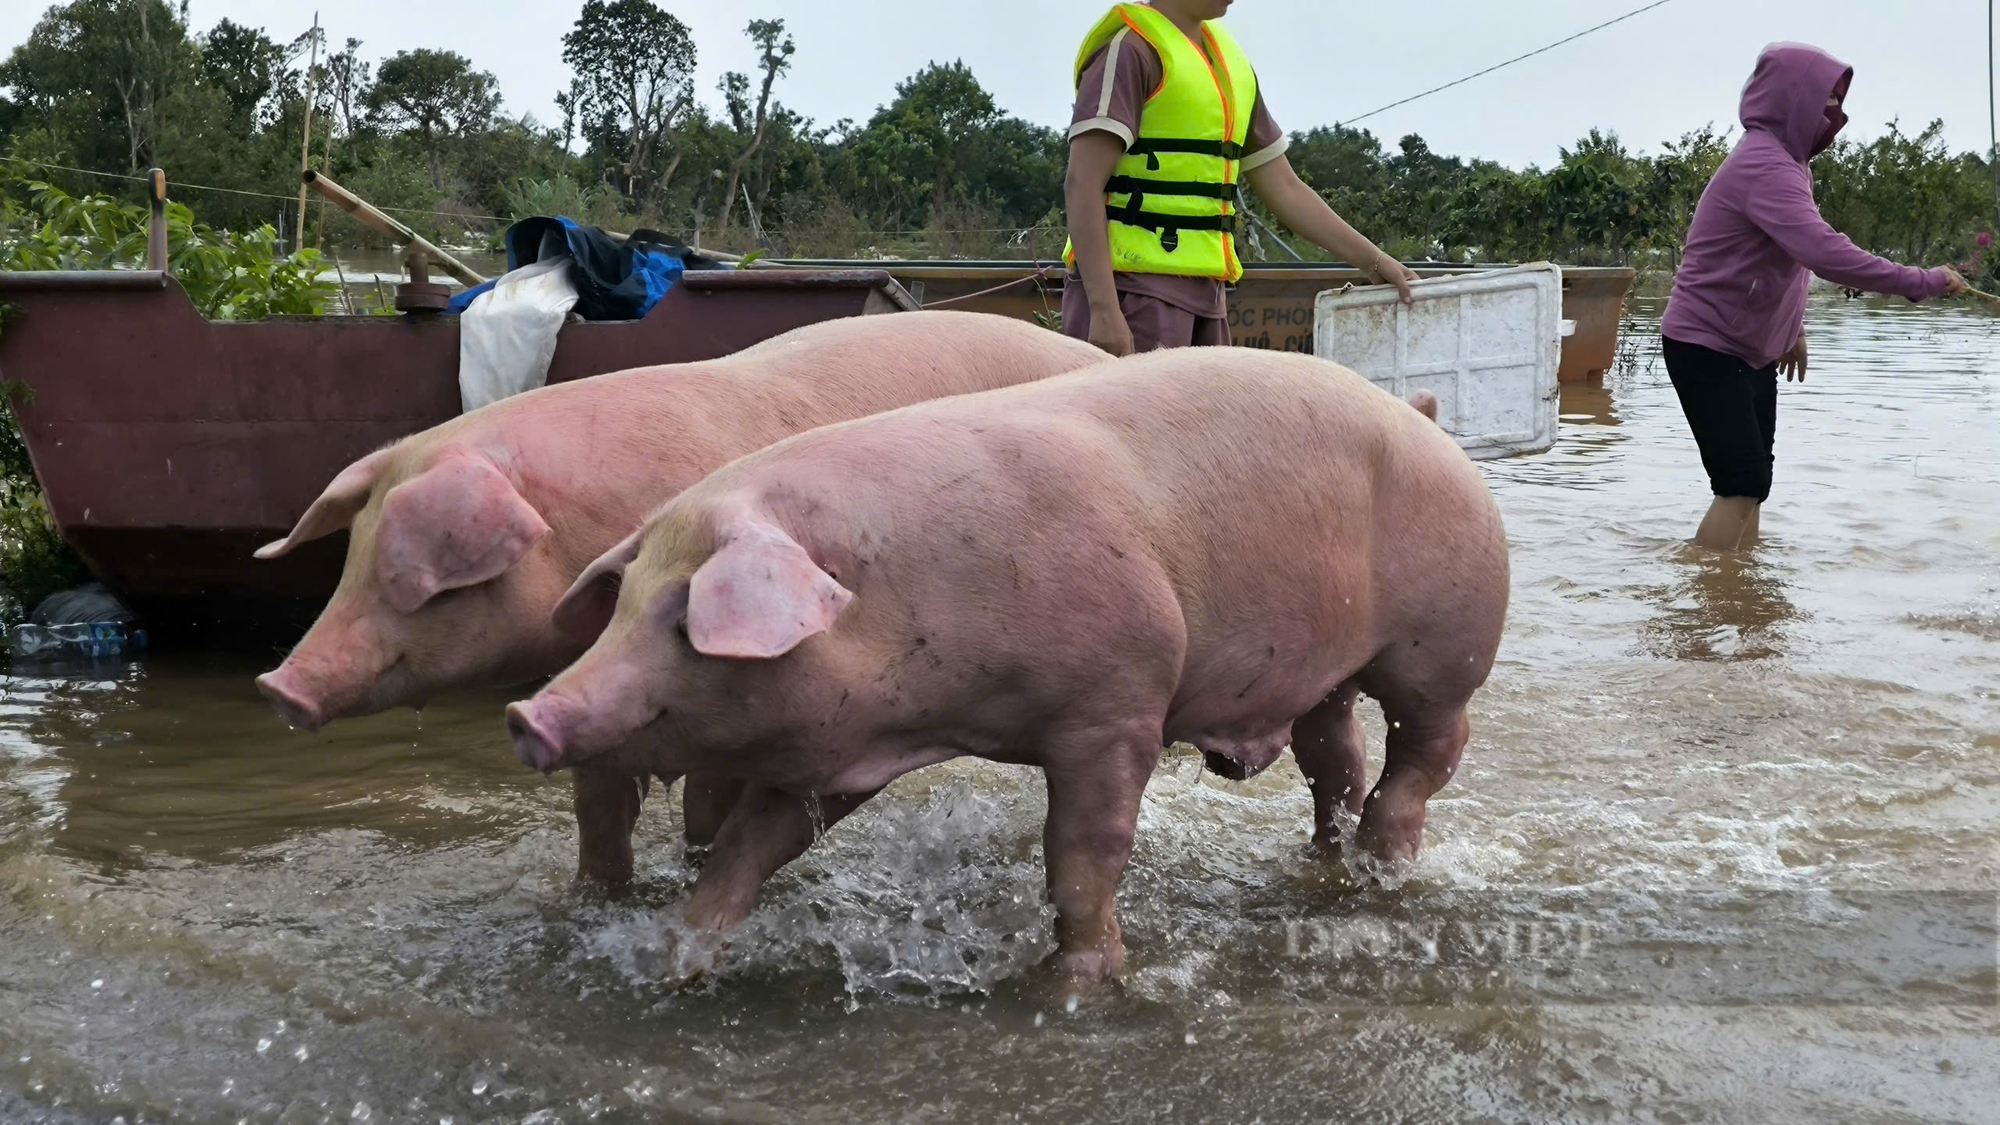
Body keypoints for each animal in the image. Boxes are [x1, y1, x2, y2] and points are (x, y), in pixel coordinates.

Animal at [250, 310, 1112, 880]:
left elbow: (705, 802)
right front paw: (595, 896)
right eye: (351, 558)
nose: (278, 684)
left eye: (409, 579)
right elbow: (598, 808)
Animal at [508, 346, 1504, 976]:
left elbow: (1084, 853)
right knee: (1334, 755)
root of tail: (1415, 412)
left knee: (1425, 753)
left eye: (686, 615)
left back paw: (1384, 868)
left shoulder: (1116, 705)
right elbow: (752, 849)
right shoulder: (843, 751)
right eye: (627, 602)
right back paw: (1325, 866)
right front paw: (677, 955)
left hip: (1447, 642)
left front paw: (1084, 979)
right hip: (1322, 672)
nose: (528, 715)